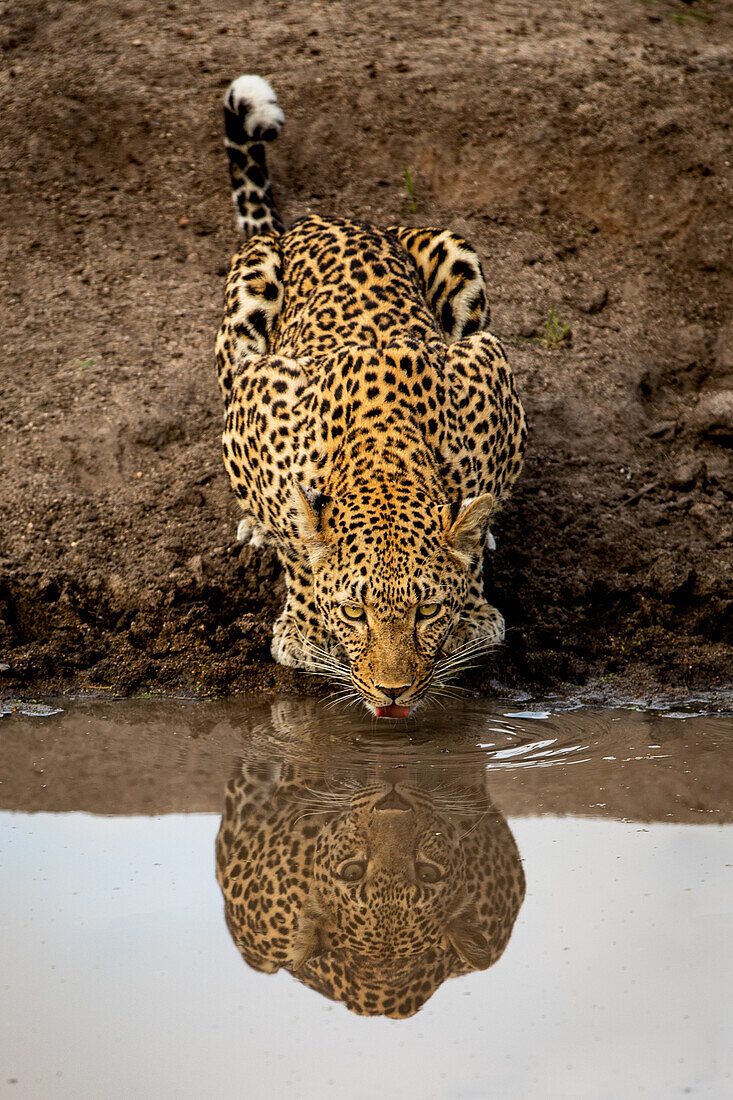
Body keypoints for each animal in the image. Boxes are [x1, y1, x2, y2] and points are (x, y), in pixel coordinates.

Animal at [212, 73, 526, 717]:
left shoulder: (491, 369)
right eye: (355, 613)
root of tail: (321, 220)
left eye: (427, 611)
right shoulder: (257, 397)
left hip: (456, 257)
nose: (393, 692)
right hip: (246, 298)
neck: (383, 449)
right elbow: (296, 539)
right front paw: (305, 626)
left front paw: (473, 599)